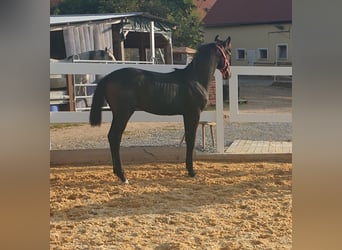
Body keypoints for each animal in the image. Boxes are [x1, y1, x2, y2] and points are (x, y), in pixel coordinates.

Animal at [89, 35, 231, 184]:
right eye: (228, 52)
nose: (228, 74)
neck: (195, 79)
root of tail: (108, 77)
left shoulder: (186, 115)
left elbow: (188, 139)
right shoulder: (193, 113)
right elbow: (191, 140)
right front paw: (191, 171)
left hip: (118, 114)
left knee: (112, 137)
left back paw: (117, 172)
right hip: (123, 113)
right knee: (115, 137)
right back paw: (123, 176)